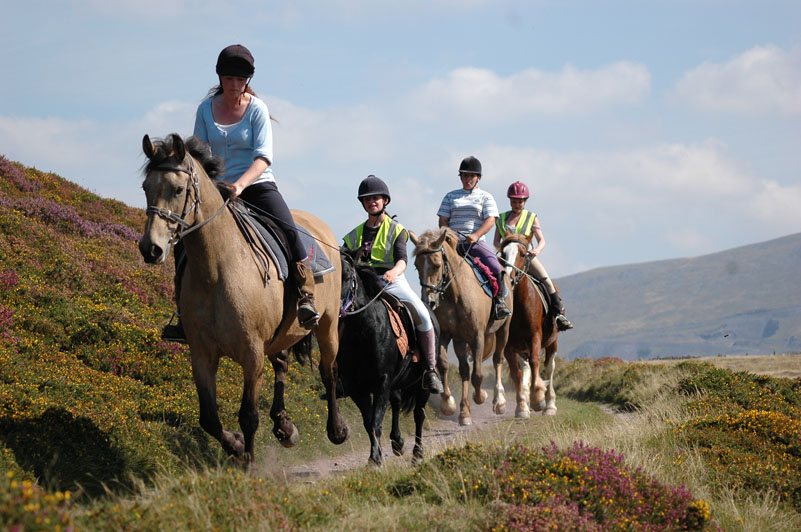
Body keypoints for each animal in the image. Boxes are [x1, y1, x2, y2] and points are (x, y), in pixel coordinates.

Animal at [138, 134, 350, 466]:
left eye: (178, 189)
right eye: (146, 187)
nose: (151, 249)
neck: (217, 269)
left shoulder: (252, 353)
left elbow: (248, 415)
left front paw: (248, 463)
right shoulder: (202, 355)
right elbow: (209, 418)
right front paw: (236, 447)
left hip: (327, 325)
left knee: (329, 371)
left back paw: (336, 429)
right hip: (281, 334)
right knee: (282, 364)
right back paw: (285, 426)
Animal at [338, 249, 438, 466]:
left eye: (348, 276)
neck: (362, 331)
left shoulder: (381, 382)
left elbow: (376, 421)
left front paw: (375, 460)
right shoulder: (357, 388)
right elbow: (369, 423)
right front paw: (377, 456)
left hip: (422, 385)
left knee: (419, 414)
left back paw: (418, 454)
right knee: (398, 402)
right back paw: (398, 442)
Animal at [410, 227, 520, 426]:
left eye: (436, 265)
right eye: (416, 266)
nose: (428, 301)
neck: (455, 293)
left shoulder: (478, 336)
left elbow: (478, 374)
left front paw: (481, 396)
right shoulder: (446, 336)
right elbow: (444, 365)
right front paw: (449, 405)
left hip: (503, 330)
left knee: (497, 360)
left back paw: (499, 401)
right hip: (460, 340)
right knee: (464, 370)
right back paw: (464, 413)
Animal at [496, 234, 560, 416]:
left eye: (523, 254)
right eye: (503, 254)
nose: (509, 278)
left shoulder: (535, 336)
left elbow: (535, 361)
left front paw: (538, 398)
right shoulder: (509, 345)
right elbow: (516, 372)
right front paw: (522, 407)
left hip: (552, 342)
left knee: (549, 367)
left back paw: (550, 405)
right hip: (521, 348)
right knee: (525, 368)